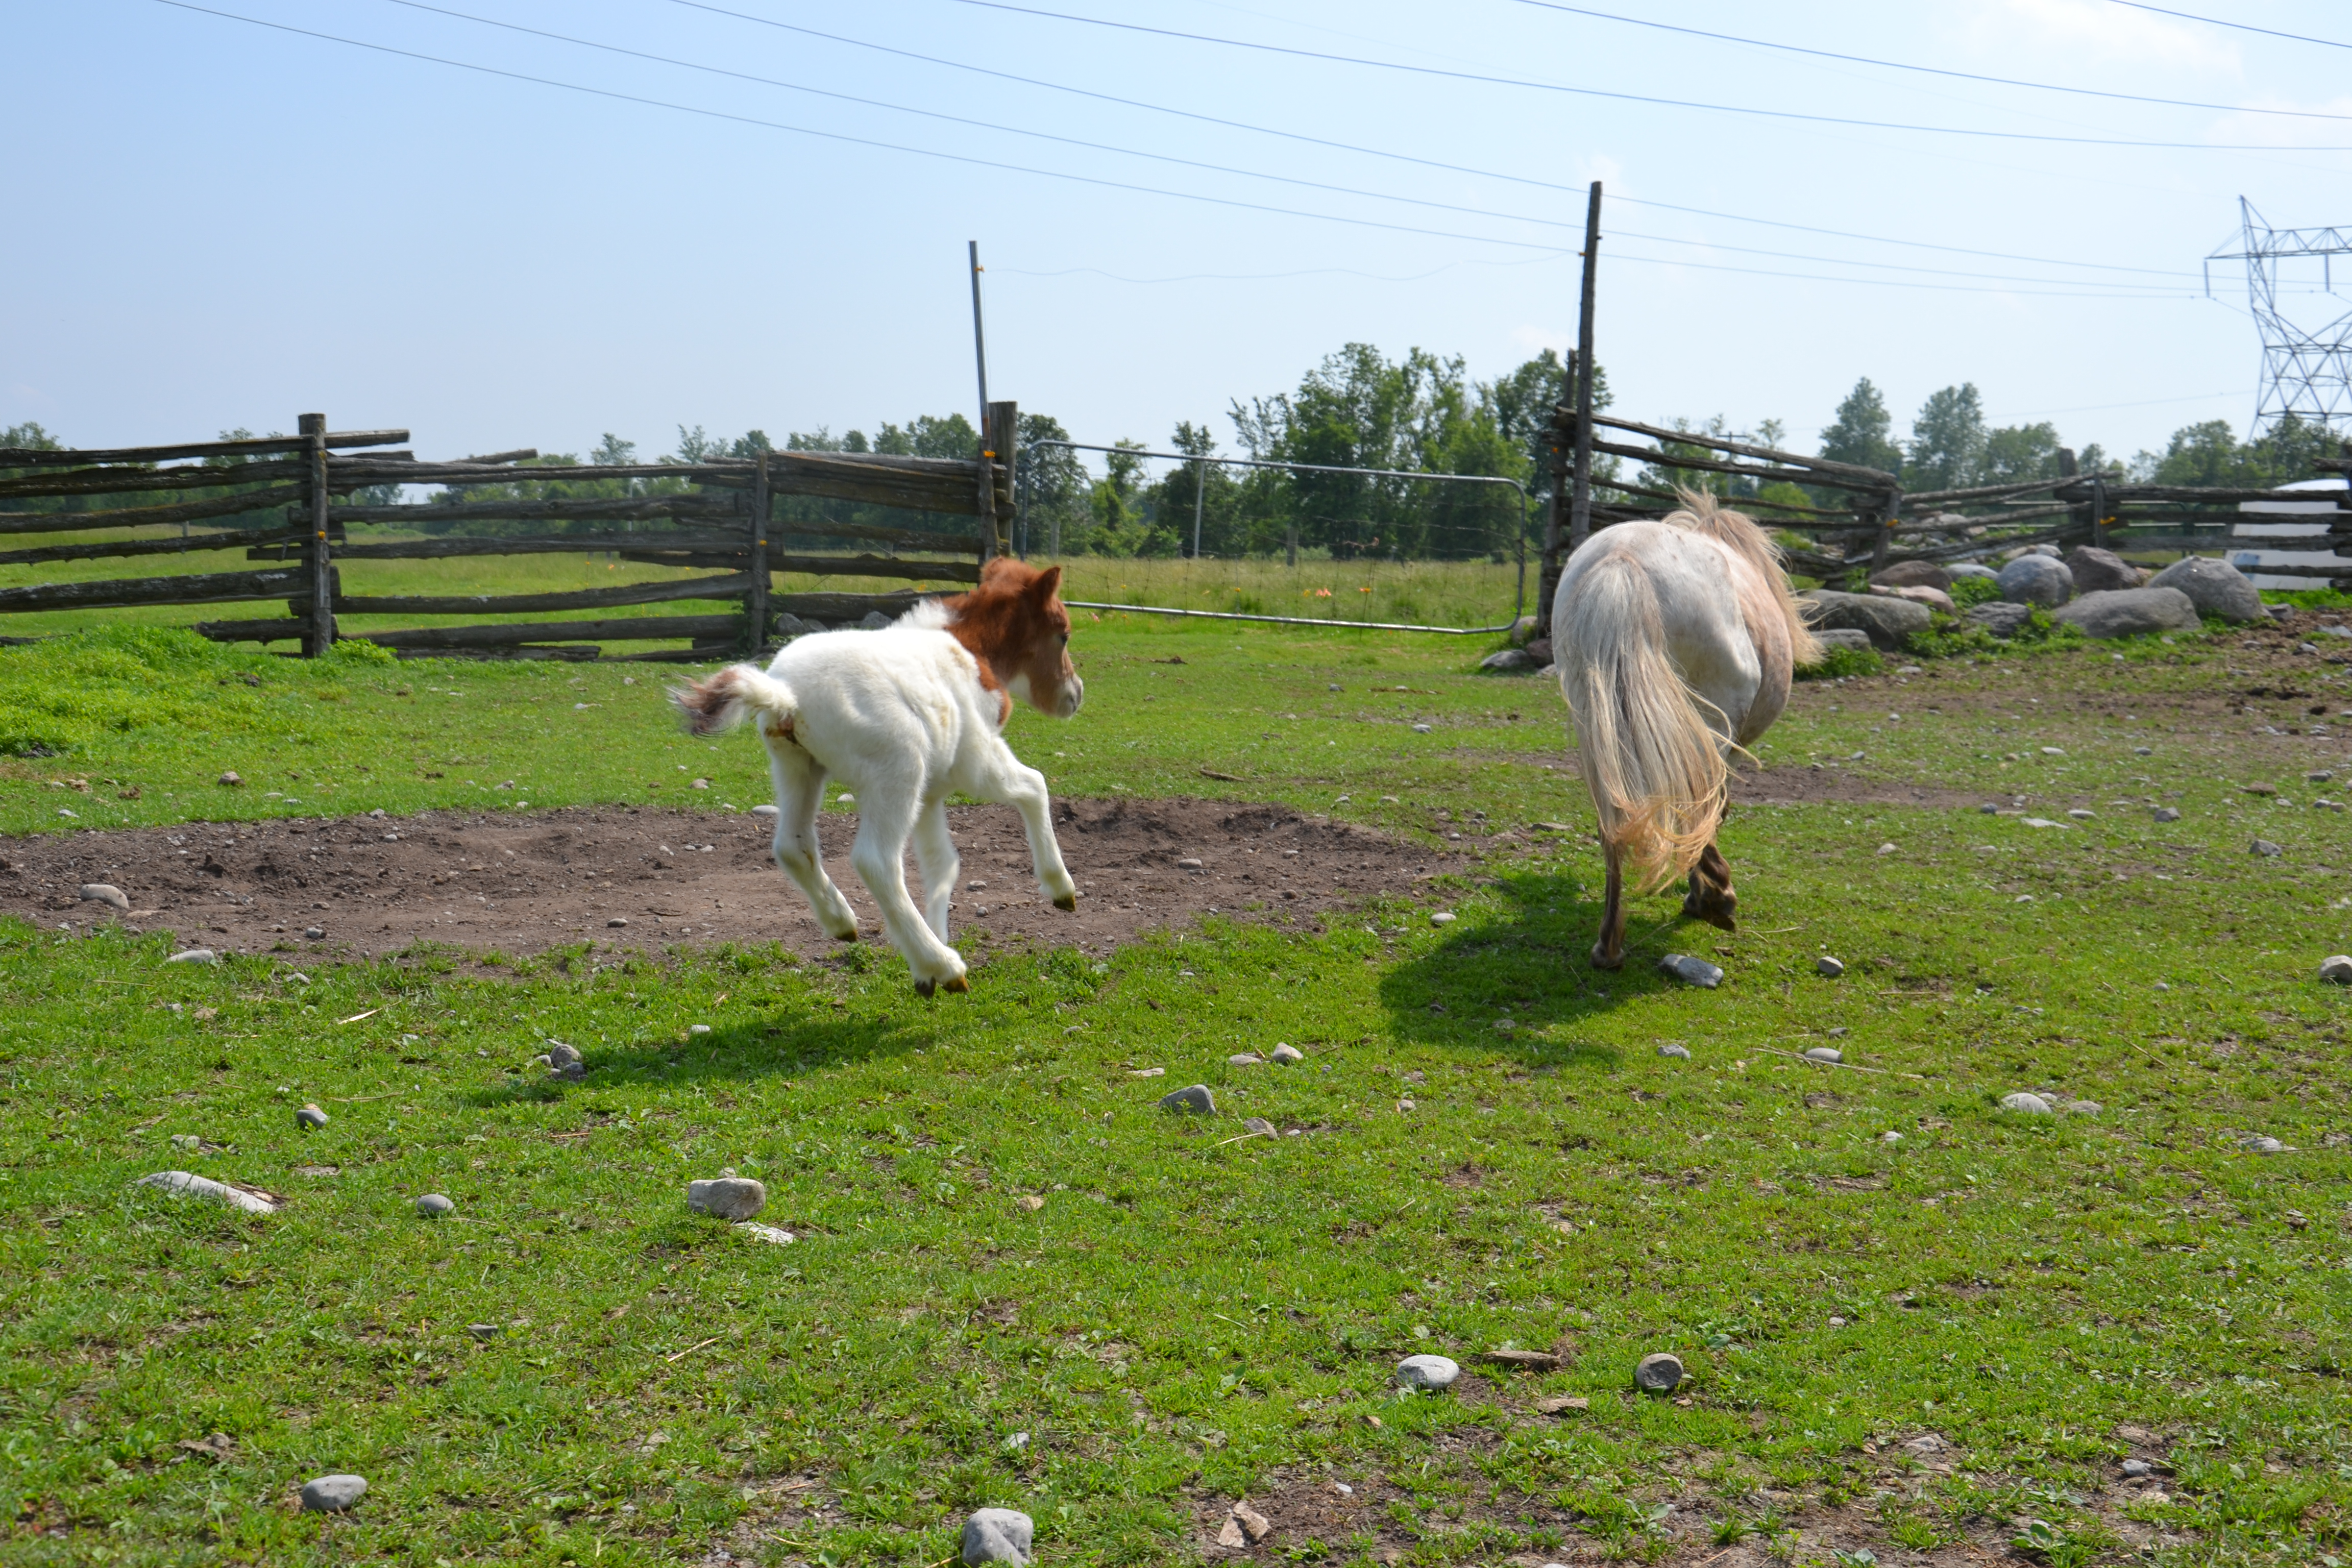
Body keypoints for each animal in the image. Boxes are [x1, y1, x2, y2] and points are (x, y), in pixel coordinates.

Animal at [672, 561, 1082, 992]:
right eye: (1063, 634)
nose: (1075, 695)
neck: (972, 651)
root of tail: (786, 694)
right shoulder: (977, 760)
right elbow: (1035, 785)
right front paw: (1060, 888)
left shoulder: (930, 795)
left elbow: (942, 862)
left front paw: (938, 941)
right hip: (898, 770)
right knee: (876, 861)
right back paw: (942, 964)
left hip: (797, 767)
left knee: (792, 846)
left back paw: (845, 923)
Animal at [1552, 496, 1825, 968]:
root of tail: (1622, 558)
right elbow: (1717, 809)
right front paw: (1707, 895)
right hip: (1708, 727)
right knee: (1695, 806)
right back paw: (1717, 898)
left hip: (1598, 729)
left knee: (1614, 820)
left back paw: (1609, 945)